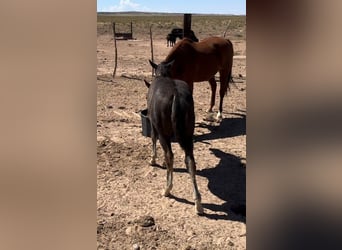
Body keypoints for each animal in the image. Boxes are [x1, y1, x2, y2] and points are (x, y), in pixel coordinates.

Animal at [144, 73, 203, 214]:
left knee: (170, 155)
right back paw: (198, 203)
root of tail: (176, 95)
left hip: (163, 134)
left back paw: (167, 189)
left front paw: (153, 160)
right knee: (190, 161)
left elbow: (153, 138)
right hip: (188, 136)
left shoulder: (154, 125)